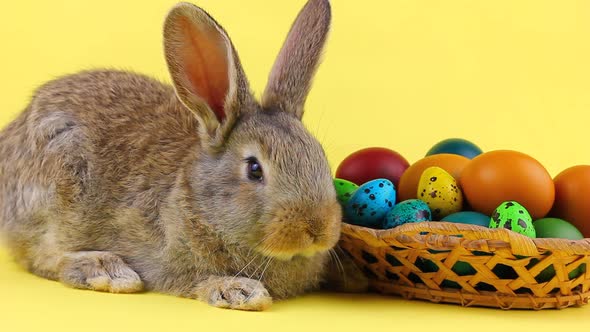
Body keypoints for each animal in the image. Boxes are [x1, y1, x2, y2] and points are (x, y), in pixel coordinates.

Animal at [0, 0, 368, 312]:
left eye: (320, 157)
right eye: (254, 169)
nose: (318, 228)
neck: (200, 204)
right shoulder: (163, 261)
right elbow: (191, 280)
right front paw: (238, 291)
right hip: (57, 185)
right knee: (40, 255)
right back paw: (105, 270)